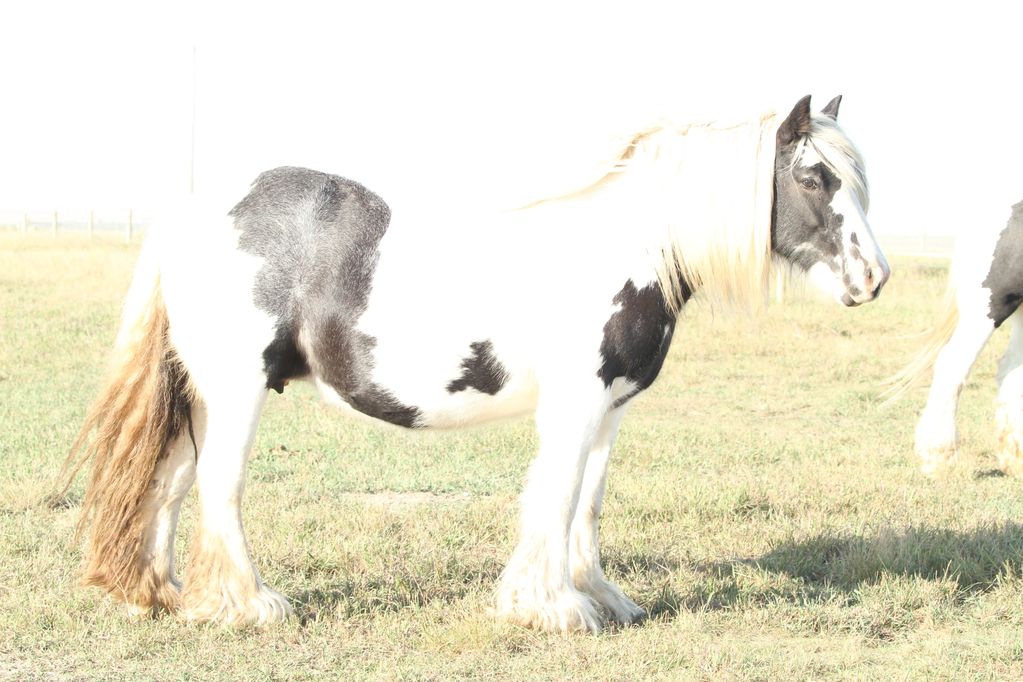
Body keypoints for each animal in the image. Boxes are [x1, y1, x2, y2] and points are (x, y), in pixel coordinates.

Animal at [62, 95, 888, 633]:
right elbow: (555, 499)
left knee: (169, 483)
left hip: (201, 392)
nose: (873, 279)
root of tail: (198, 209)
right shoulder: (576, 403)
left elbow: (587, 504)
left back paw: (164, 595)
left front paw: (601, 599)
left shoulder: (609, 408)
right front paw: (552, 609)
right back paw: (249, 606)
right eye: (813, 177)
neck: (623, 245)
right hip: (237, 388)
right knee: (217, 487)